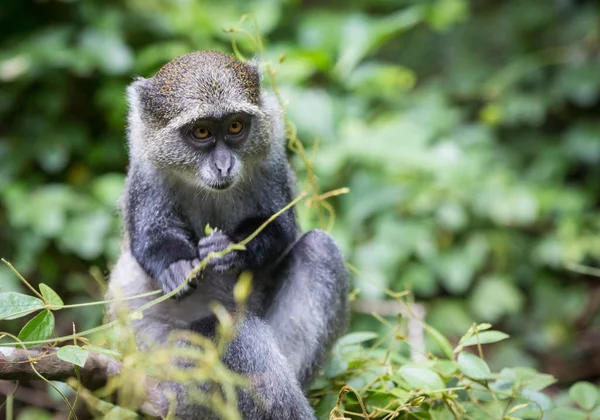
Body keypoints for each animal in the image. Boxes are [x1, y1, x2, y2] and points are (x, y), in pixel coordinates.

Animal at [108, 50, 350, 418]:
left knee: (318, 249)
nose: (224, 165)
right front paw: (175, 268)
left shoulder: (272, 160)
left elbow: (282, 230)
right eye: (202, 131)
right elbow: (149, 236)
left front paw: (232, 248)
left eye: (235, 126)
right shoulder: (146, 171)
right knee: (227, 333)